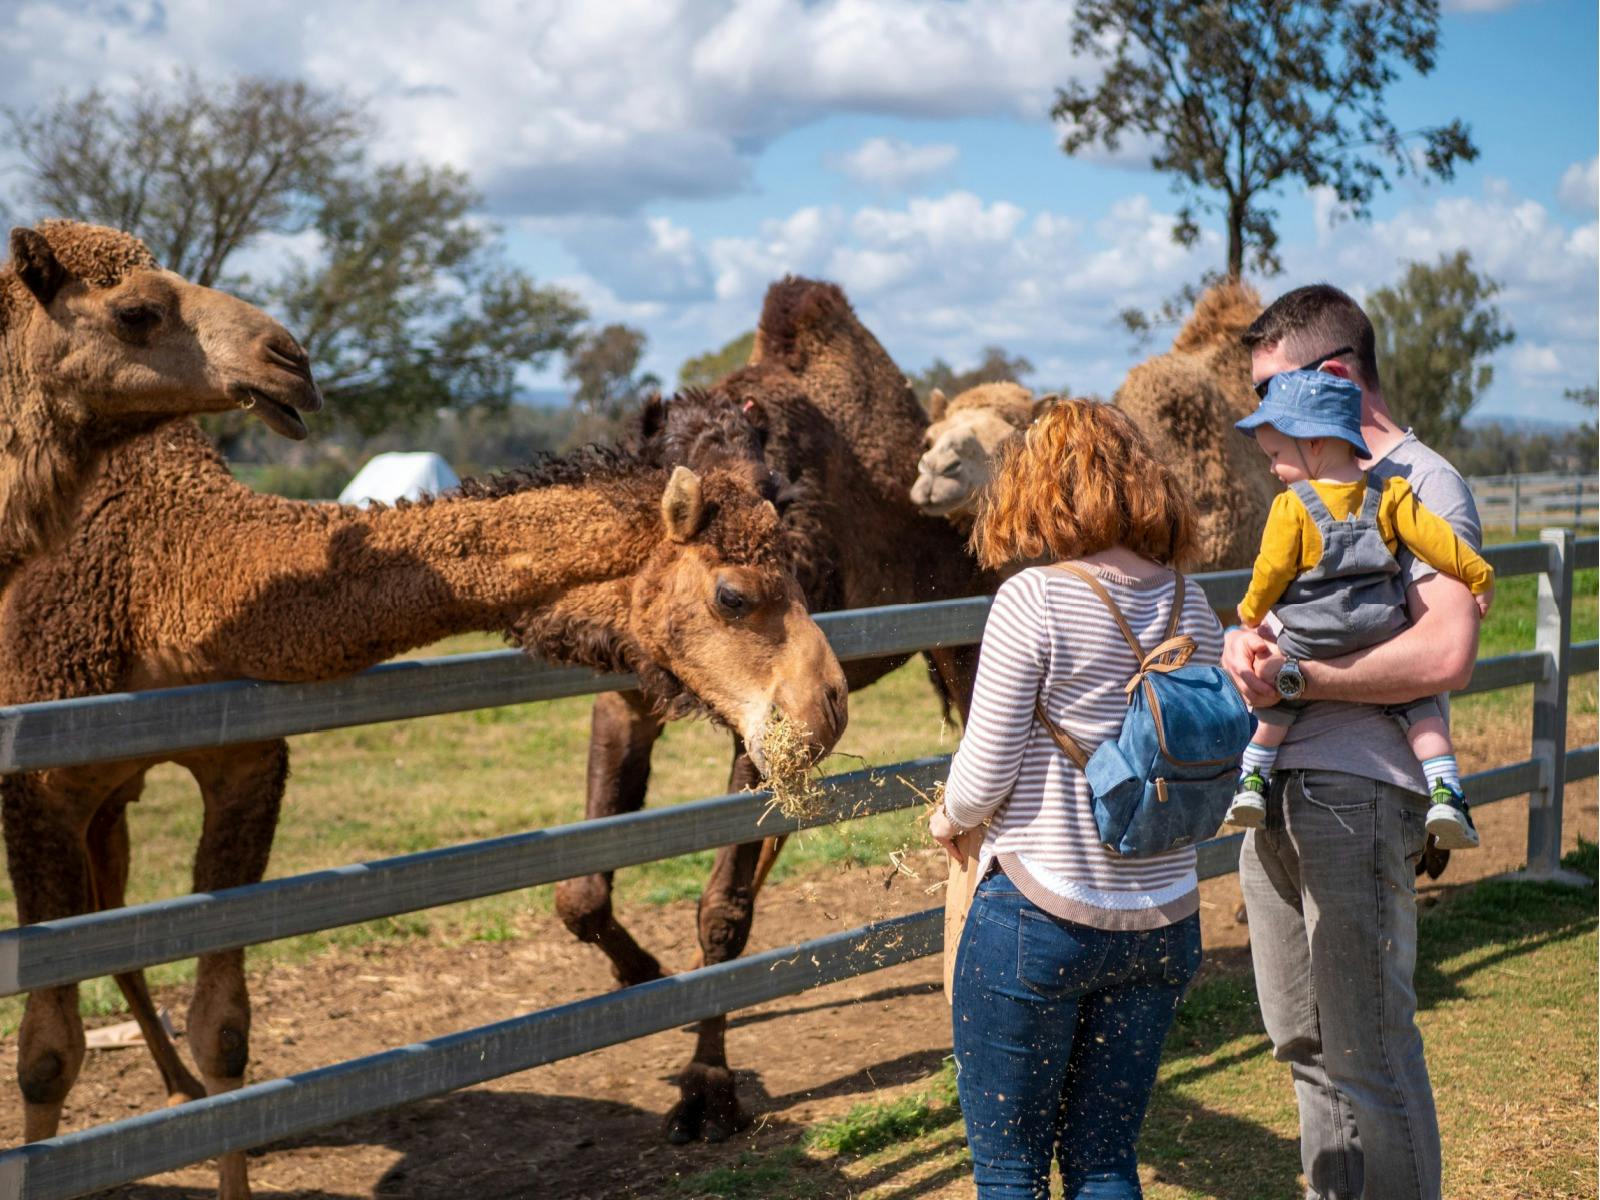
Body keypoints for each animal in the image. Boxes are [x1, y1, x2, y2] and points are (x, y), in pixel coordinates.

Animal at [0, 421, 847, 1200]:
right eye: (733, 595)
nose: (828, 704)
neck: (170, 586)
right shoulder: (38, 785)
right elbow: (46, 1056)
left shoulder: (245, 764)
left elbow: (224, 1029)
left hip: (114, 803)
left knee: (119, 934)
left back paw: (178, 1093)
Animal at [556, 277, 994, 1144]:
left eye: (769, 495)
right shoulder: (628, 697)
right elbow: (581, 894)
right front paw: (645, 976)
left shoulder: (770, 719)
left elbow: (720, 908)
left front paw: (707, 1091)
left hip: (963, 633)